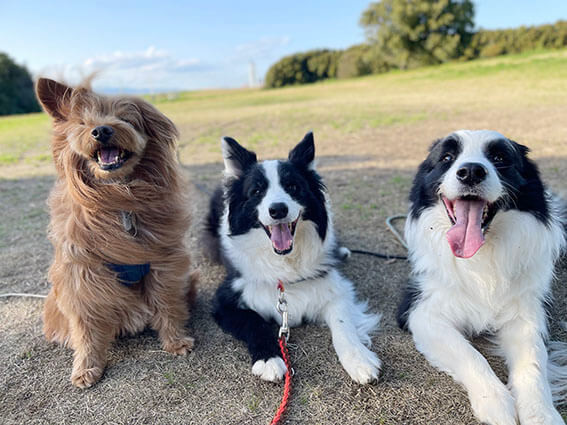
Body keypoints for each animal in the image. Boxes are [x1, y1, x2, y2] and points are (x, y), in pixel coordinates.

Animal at [36, 78, 197, 388]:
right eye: (83, 123)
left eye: (125, 119)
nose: (101, 130)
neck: (119, 199)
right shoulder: (82, 275)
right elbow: (85, 325)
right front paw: (87, 366)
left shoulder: (163, 263)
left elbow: (167, 302)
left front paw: (175, 340)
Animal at [205, 132, 382, 384]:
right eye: (256, 191)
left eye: (293, 187)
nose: (278, 209)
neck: (285, 262)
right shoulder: (225, 300)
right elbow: (253, 322)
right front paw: (269, 359)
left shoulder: (337, 289)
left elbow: (343, 324)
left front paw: (359, 359)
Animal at [400, 129, 567, 424]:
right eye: (447, 157)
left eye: (499, 158)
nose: (470, 172)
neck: (481, 256)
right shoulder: (420, 311)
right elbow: (469, 353)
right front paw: (496, 403)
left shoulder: (526, 313)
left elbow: (533, 363)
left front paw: (541, 414)